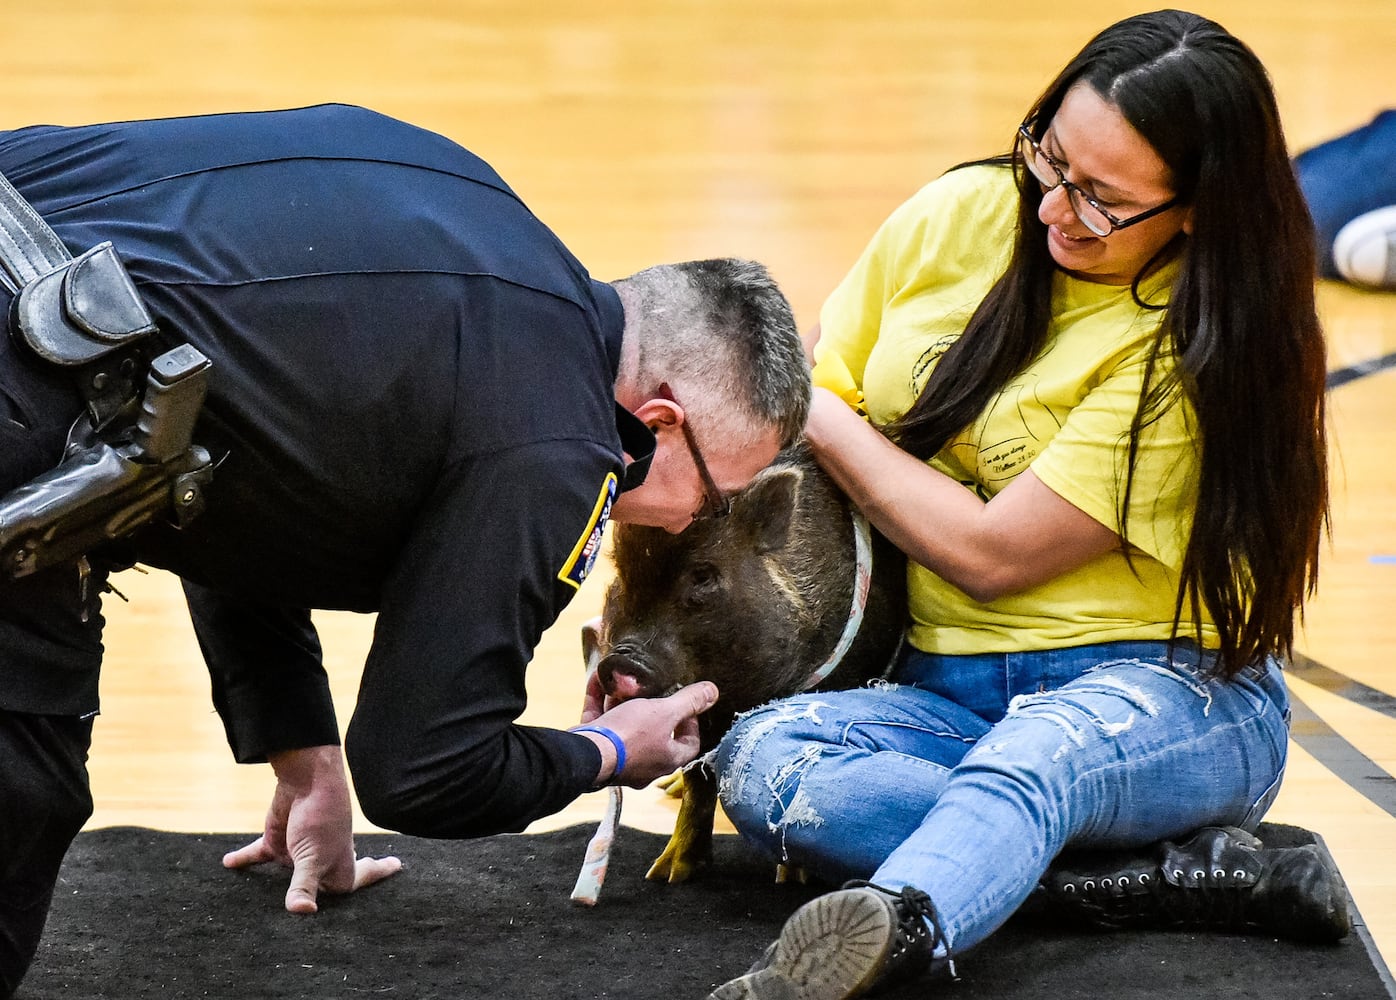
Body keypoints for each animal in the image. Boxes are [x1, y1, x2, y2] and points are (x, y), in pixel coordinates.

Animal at [580, 444, 899, 882]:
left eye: (702, 575)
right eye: (620, 573)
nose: (621, 662)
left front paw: (793, 881)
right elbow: (698, 778)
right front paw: (668, 874)